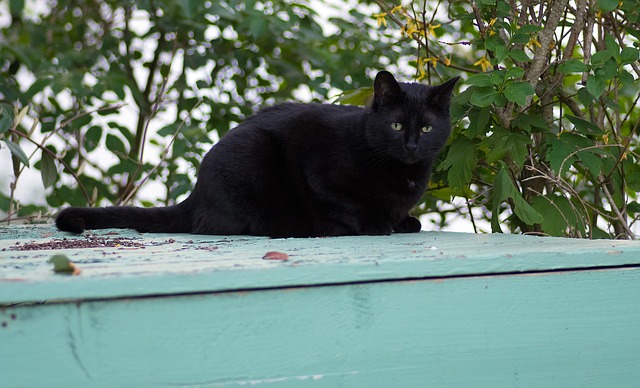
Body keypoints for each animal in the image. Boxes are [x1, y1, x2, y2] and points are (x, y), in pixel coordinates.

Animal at [53, 71, 456, 238]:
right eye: (397, 126)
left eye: (426, 129)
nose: (412, 147)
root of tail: (196, 195)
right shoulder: (319, 171)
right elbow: (348, 203)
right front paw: (376, 223)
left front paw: (405, 221)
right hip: (252, 153)